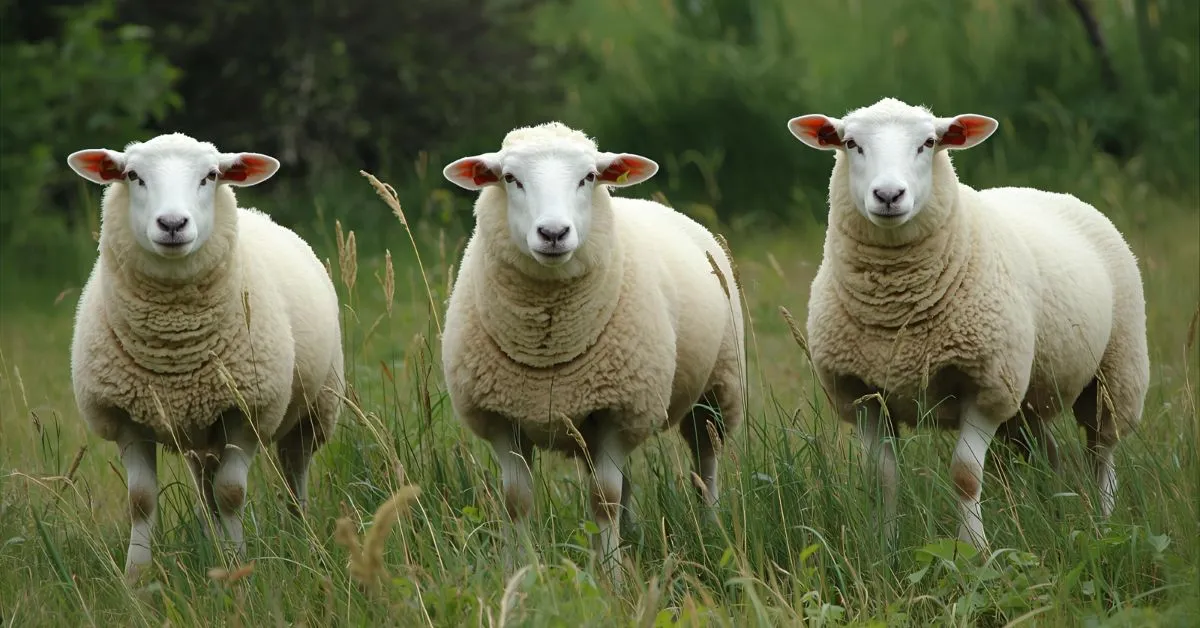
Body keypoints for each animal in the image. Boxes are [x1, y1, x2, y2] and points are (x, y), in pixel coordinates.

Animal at [66, 133, 344, 578]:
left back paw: (300, 534)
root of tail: (256, 213)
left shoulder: (246, 412)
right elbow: (141, 500)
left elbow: (231, 494)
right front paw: (136, 577)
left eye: (210, 176)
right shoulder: (126, 419)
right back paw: (210, 539)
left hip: (316, 408)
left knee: (294, 471)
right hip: (201, 432)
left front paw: (237, 567)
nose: (172, 224)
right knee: (204, 485)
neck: (174, 347)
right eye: (133, 175)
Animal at [440, 122, 745, 580]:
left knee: (705, 462)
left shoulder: (619, 411)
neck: (547, 344)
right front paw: (518, 571)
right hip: (588, 422)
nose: (553, 234)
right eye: (510, 178)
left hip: (716, 390)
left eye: (588, 177)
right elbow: (516, 501)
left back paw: (711, 528)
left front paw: (613, 575)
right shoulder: (501, 418)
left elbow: (604, 498)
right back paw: (634, 534)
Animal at [787, 98, 1149, 549]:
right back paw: (1053, 511)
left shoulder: (987, 386)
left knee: (1101, 450)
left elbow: (964, 475)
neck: (896, 310)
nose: (888, 195)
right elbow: (881, 478)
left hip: (1114, 370)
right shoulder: (860, 394)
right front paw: (884, 550)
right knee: (1049, 451)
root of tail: (1042, 190)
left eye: (929, 143)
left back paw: (1104, 523)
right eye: (851, 144)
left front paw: (975, 550)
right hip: (1027, 395)